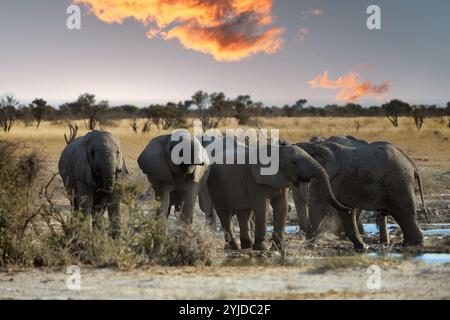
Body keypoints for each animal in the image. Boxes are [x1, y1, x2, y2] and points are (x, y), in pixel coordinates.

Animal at [206, 140, 356, 252]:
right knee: (225, 214)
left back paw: (246, 247)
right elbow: (263, 207)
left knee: (244, 214)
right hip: (215, 184)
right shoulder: (255, 181)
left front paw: (277, 249)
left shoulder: (281, 177)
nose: (349, 209)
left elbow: (281, 207)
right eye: (294, 163)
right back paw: (234, 248)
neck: (276, 152)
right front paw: (262, 249)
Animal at [294, 136, 428, 246]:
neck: (315, 146)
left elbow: (317, 205)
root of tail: (412, 164)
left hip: (399, 182)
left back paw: (412, 244)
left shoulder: (331, 176)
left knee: (404, 213)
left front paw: (307, 243)